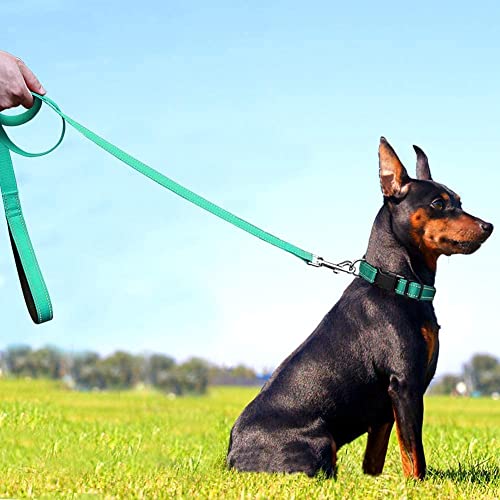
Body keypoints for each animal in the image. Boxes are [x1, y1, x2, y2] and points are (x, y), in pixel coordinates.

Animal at [229, 138, 494, 480]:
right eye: (438, 203)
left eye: (460, 202)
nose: (488, 226)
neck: (396, 283)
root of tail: (231, 456)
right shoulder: (404, 385)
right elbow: (414, 454)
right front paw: (418, 485)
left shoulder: (385, 409)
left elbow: (376, 460)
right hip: (320, 443)